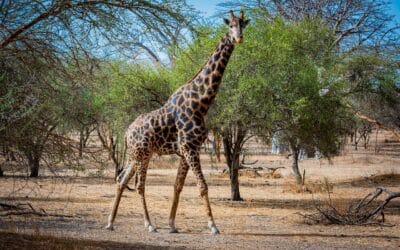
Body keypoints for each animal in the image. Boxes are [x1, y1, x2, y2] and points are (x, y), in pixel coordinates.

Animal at [106, 9, 250, 234]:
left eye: (243, 24)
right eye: (230, 26)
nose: (238, 38)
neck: (201, 103)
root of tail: (126, 133)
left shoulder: (186, 151)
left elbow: (178, 186)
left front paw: (172, 224)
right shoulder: (190, 148)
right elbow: (202, 186)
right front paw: (213, 226)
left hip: (134, 155)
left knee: (122, 180)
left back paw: (111, 222)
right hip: (143, 154)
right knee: (139, 185)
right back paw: (149, 225)